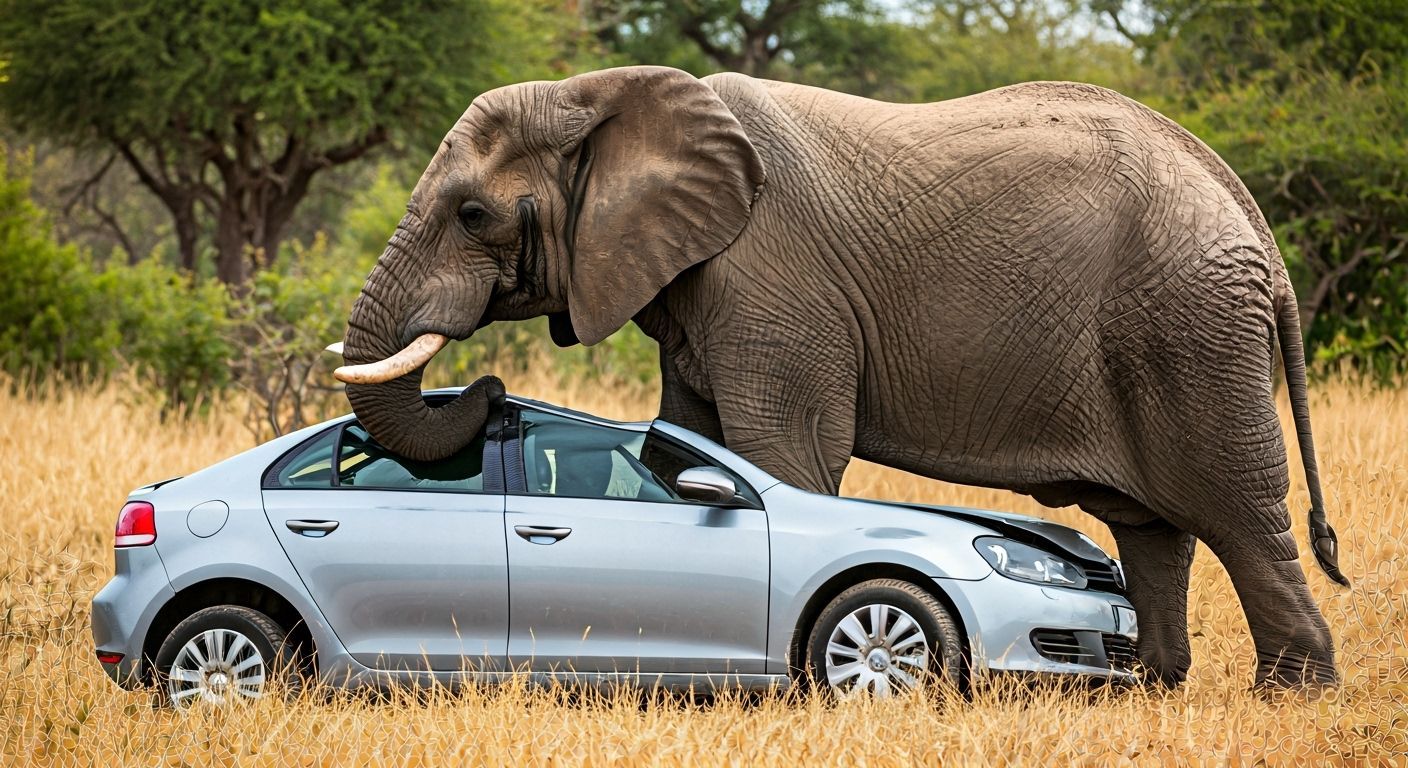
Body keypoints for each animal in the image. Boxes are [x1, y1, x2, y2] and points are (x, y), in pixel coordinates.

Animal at [333, 65, 1350, 688]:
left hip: (1190, 327)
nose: (487, 393)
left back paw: (1291, 694)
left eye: (472, 214)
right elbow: (690, 431)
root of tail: (1249, 216)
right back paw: (1148, 687)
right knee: (1151, 528)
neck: (603, 97)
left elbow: (781, 452)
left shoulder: (771, 278)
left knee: (1238, 513)